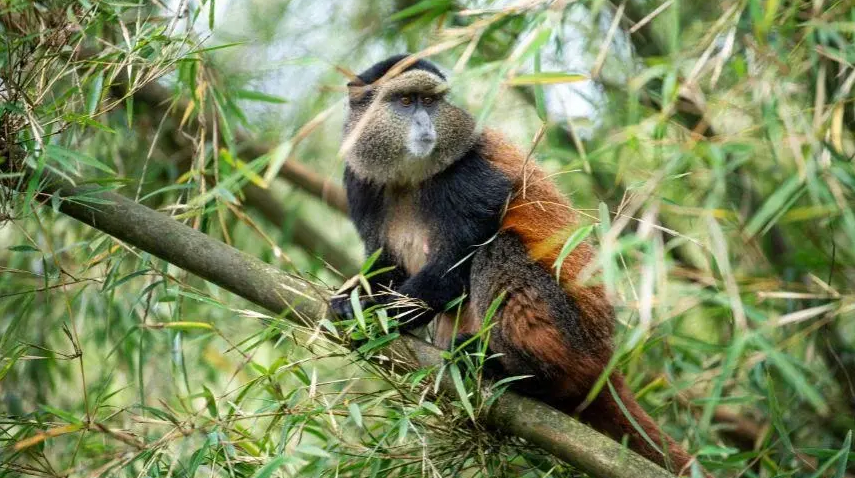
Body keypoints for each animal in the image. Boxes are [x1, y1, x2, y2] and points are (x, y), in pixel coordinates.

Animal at [331, 54, 704, 476]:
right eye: (406, 101)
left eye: (431, 101)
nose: (426, 125)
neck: (411, 178)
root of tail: (605, 359)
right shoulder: (359, 182)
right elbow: (386, 263)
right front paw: (350, 302)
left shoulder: (471, 177)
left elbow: (453, 263)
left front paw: (376, 311)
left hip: (571, 338)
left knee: (499, 249)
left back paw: (519, 371)